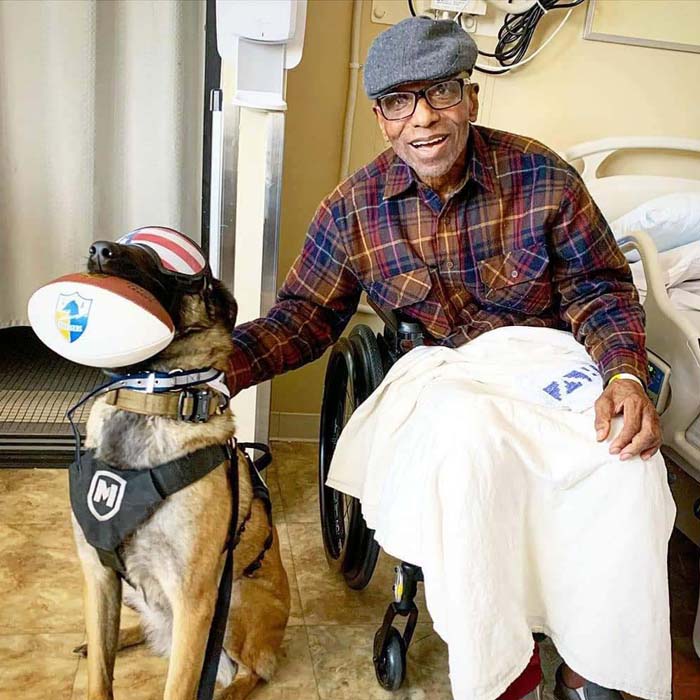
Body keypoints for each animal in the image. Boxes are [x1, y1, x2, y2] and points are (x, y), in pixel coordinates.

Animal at [76, 237, 292, 700]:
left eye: (176, 264)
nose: (99, 250)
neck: (148, 401)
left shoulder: (194, 602)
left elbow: (180, 687)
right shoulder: (99, 577)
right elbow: (100, 676)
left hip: (236, 599)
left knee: (252, 672)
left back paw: (228, 691)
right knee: (140, 629)